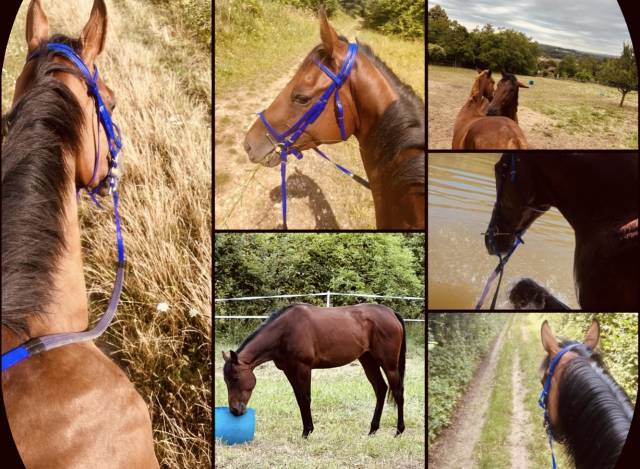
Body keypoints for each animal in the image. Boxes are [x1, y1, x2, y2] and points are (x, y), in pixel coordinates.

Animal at [221, 303, 406, 438]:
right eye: (226, 380)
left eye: (235, 378)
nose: (234, 411)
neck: (286, 331)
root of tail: (391, 312)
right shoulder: (289, 370)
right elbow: (299, 399)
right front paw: (306, 430)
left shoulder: (304, 368)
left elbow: (306, 398)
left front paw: (307, 432)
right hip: (368, 361)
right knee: (381, 389)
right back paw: (373, 430)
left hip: (389, 365)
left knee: (397, 393)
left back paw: (398, 431)